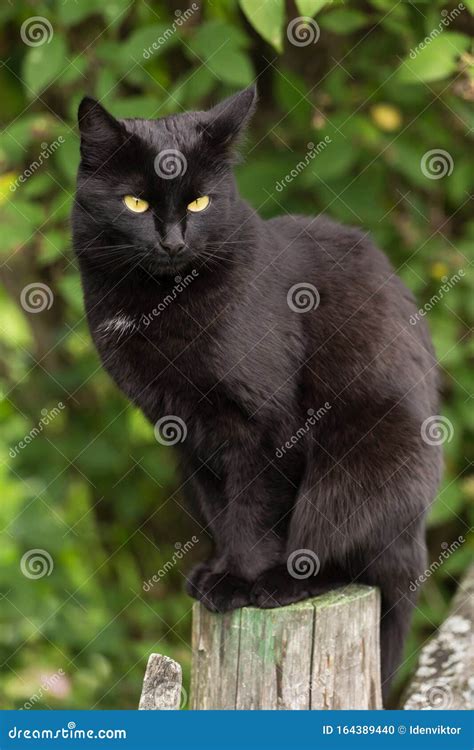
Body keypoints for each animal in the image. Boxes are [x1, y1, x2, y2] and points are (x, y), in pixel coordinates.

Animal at [72, 88, 442, 704]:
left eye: (199, 202)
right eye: (134, 202)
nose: (172, 240)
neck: (160, 301)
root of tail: (414, 549)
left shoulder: (266, 423)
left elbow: (254, 506)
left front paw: (239, 582)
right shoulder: (184, 429)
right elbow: (223, 508)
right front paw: (218, 571)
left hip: (360, 462)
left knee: (345, 552)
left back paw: (281, 585)